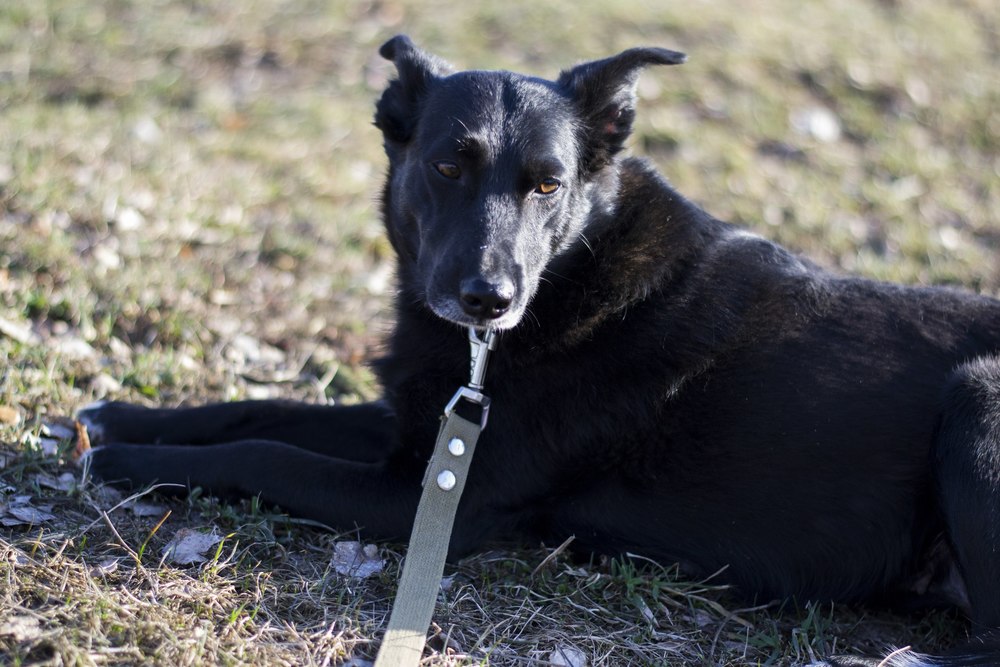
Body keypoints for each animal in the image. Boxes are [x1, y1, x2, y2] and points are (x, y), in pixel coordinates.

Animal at [80, 36, 1000, 667]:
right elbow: (262, 407)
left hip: (979, 398)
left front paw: (129, 460)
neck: (569, 268)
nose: (490, 297)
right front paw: (124, 414)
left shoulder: (438, 495)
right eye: (448, 166)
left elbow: (270, 453)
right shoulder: (423, 428)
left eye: (549, 184)